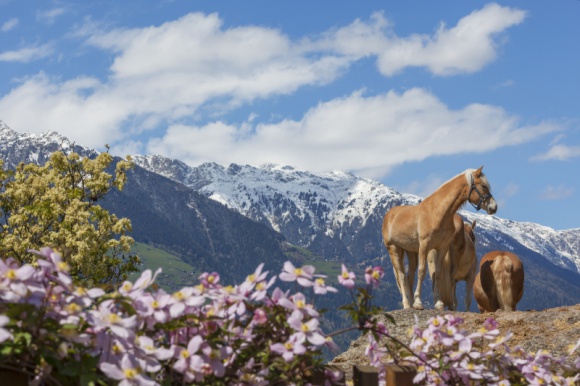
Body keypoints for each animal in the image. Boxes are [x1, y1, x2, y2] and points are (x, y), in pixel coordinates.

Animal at [380, 167, 498, 310]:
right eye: (483, 186)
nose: (494, 207)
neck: (437, 212)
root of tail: (389, 215)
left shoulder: (442, 248)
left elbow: (438, 274)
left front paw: (439, 303)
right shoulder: (424, 246)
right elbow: (422, 272)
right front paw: (419, 302)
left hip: (411, 252)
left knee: (409, 277)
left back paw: (411, 303)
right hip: (394, 249)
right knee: (401, 275)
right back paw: (407, 304)